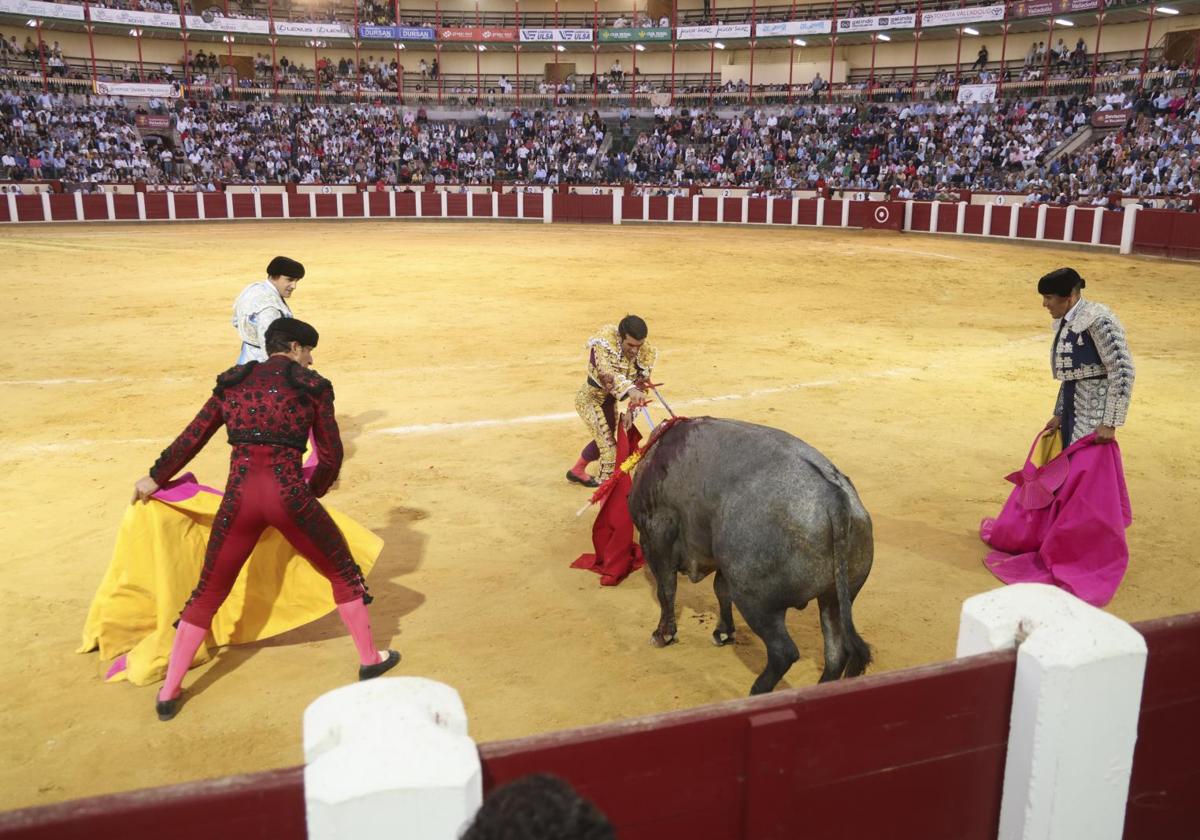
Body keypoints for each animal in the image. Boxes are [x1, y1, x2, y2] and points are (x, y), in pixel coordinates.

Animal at [628, 415, 873, 696]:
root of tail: (835, 497)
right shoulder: (722, 563)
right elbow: (720, 589)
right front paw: (724, 632)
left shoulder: (656, 536)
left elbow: (666, 589)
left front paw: (663, 634)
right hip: (833, 600)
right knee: (835, 653)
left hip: (756, 602)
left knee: (784, 652)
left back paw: (757, 692)